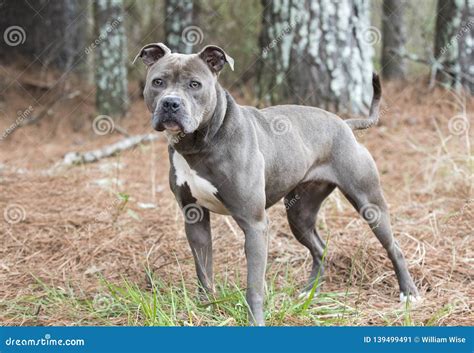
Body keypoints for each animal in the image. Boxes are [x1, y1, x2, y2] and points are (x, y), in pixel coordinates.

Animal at [132, 42, 418, 324]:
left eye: (194, 84)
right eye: (158, 82)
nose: (170, 103)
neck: (199, 144)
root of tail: (344, 124)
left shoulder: (254, 224)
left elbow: (254, 285)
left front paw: (254, 321)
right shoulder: (195, 218)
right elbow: (204, 271)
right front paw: (206, 309)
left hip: (369, 203)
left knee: (394, 247)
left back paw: (408, 293)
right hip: (299, 214)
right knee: (320, 248)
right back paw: (308, 293)